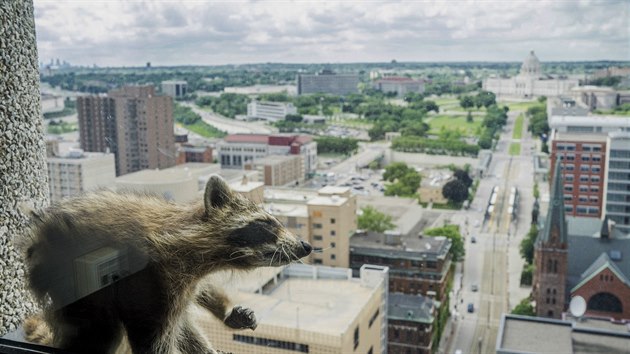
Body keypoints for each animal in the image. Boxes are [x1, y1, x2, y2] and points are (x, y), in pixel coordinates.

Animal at [22, 176, 314, 354]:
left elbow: (199, 296)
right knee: (100, 329)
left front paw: (227, 310)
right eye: (266, 223)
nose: (306, 246)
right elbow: (153, 343)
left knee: (183, 324)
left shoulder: (186, 279)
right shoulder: (150, 280)